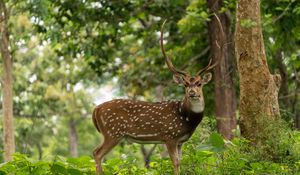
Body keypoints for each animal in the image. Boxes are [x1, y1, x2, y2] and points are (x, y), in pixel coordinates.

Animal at [92, 20, 217, 174]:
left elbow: (181, 162)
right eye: (186, 84)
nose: (192, 93)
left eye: (199, 83)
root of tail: (96, 109)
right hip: (113, 132)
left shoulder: (180, 141)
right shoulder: (169, 136)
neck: (187, 118)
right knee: (97, 153)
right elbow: (175, 162)